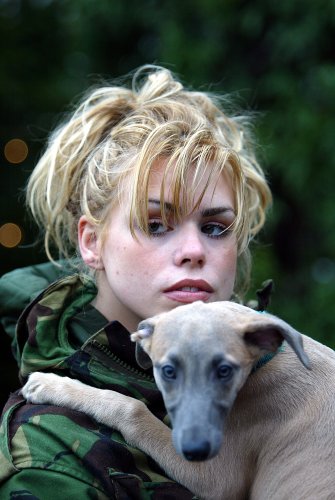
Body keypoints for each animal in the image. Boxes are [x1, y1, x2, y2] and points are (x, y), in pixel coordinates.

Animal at [22, 300, 335, 500]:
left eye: (225, 371)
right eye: (168, 371)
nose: (196, 449)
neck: (263, 363)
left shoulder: (217, 478)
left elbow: (132, 407)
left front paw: (51, 383)